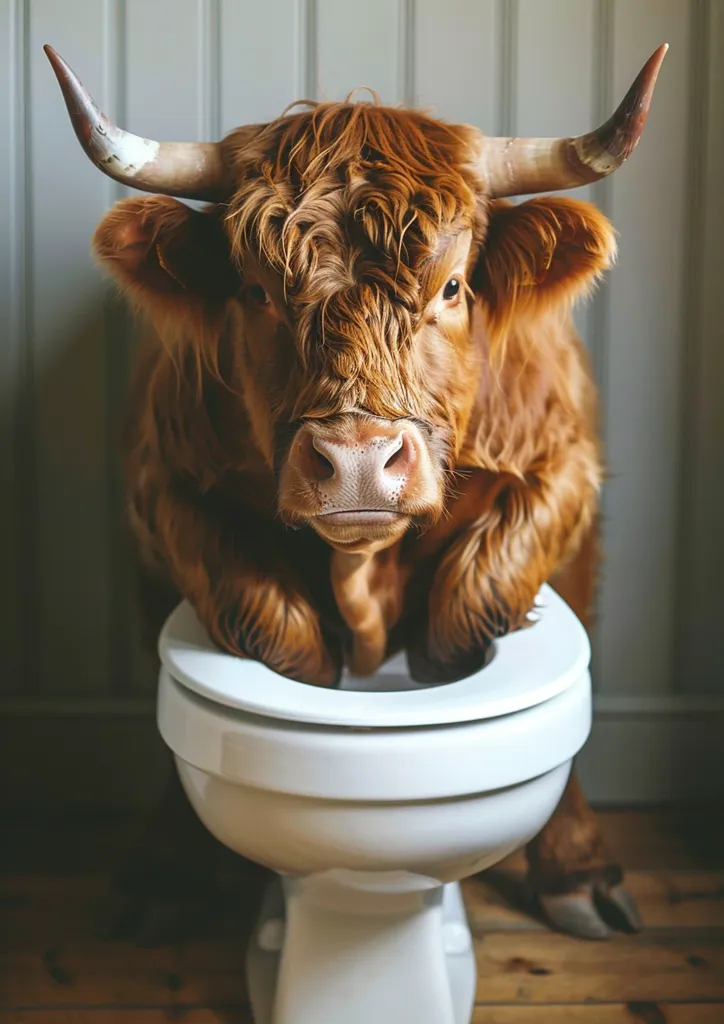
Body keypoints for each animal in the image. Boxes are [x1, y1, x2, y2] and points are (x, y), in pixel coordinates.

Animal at [46, 42, 666, 945]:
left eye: (452, 287)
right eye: (257, 291)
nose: (359, 460)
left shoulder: (563, 470)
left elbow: (478, 591)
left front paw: (576, 866)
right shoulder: (164, 483)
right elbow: (269, 618)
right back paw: (163, 873)